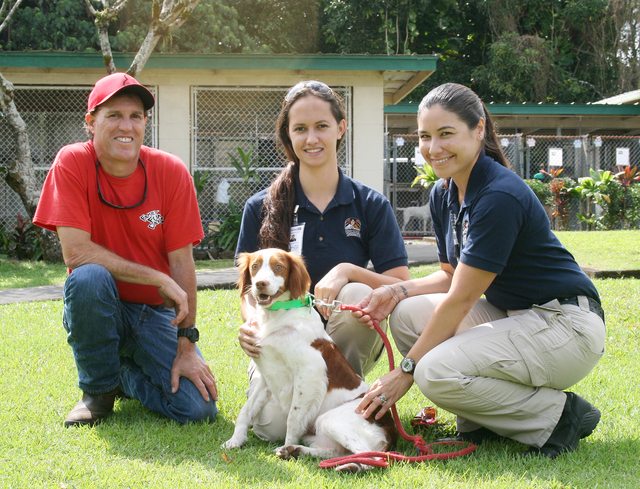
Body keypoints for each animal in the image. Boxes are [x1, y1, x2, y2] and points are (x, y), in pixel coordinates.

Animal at [222, 248, 398, 468]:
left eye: (278, 267)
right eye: (255, 266)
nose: (260, 283)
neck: (279, 315)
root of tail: (390, 428)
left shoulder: (309, 374)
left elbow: (293, 417)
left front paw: (285, 444)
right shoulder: (267, 376)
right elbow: (246, 410)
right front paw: (236, 439)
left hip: (329, 419)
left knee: (373, 457)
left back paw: (348, 465)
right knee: (333, 451)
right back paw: (296, 450)